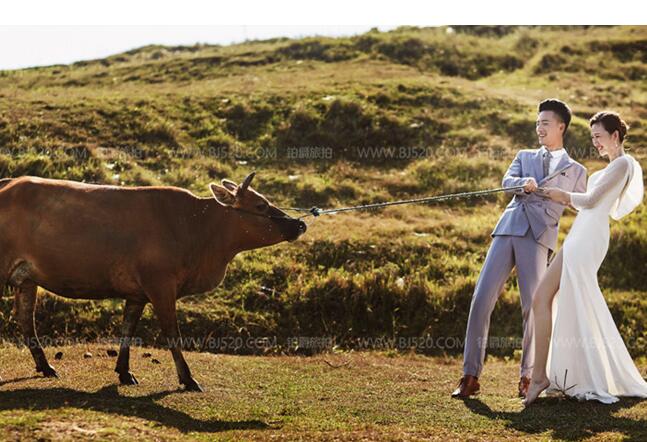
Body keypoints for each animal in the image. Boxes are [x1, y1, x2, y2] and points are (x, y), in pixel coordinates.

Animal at [0, 172, 308, 390]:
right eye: (260, 205)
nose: (300, 223)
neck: (196, 227)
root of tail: (10, 182)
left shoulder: (137, 294)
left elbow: (128, 328)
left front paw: (124, 372)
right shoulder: (161, 286)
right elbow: (172, 333)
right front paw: (187, 379)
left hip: (27, 279)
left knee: (25, 317)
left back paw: (45, 366)